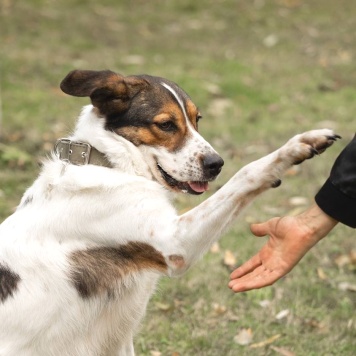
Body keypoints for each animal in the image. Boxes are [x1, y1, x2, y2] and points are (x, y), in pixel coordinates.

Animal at [0, 70, 340, 356]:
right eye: (165, 125)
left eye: (197, 119)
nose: (217, 164)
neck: (110, 163)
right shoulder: (175, 242)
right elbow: (247, 173)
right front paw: (294, 148)